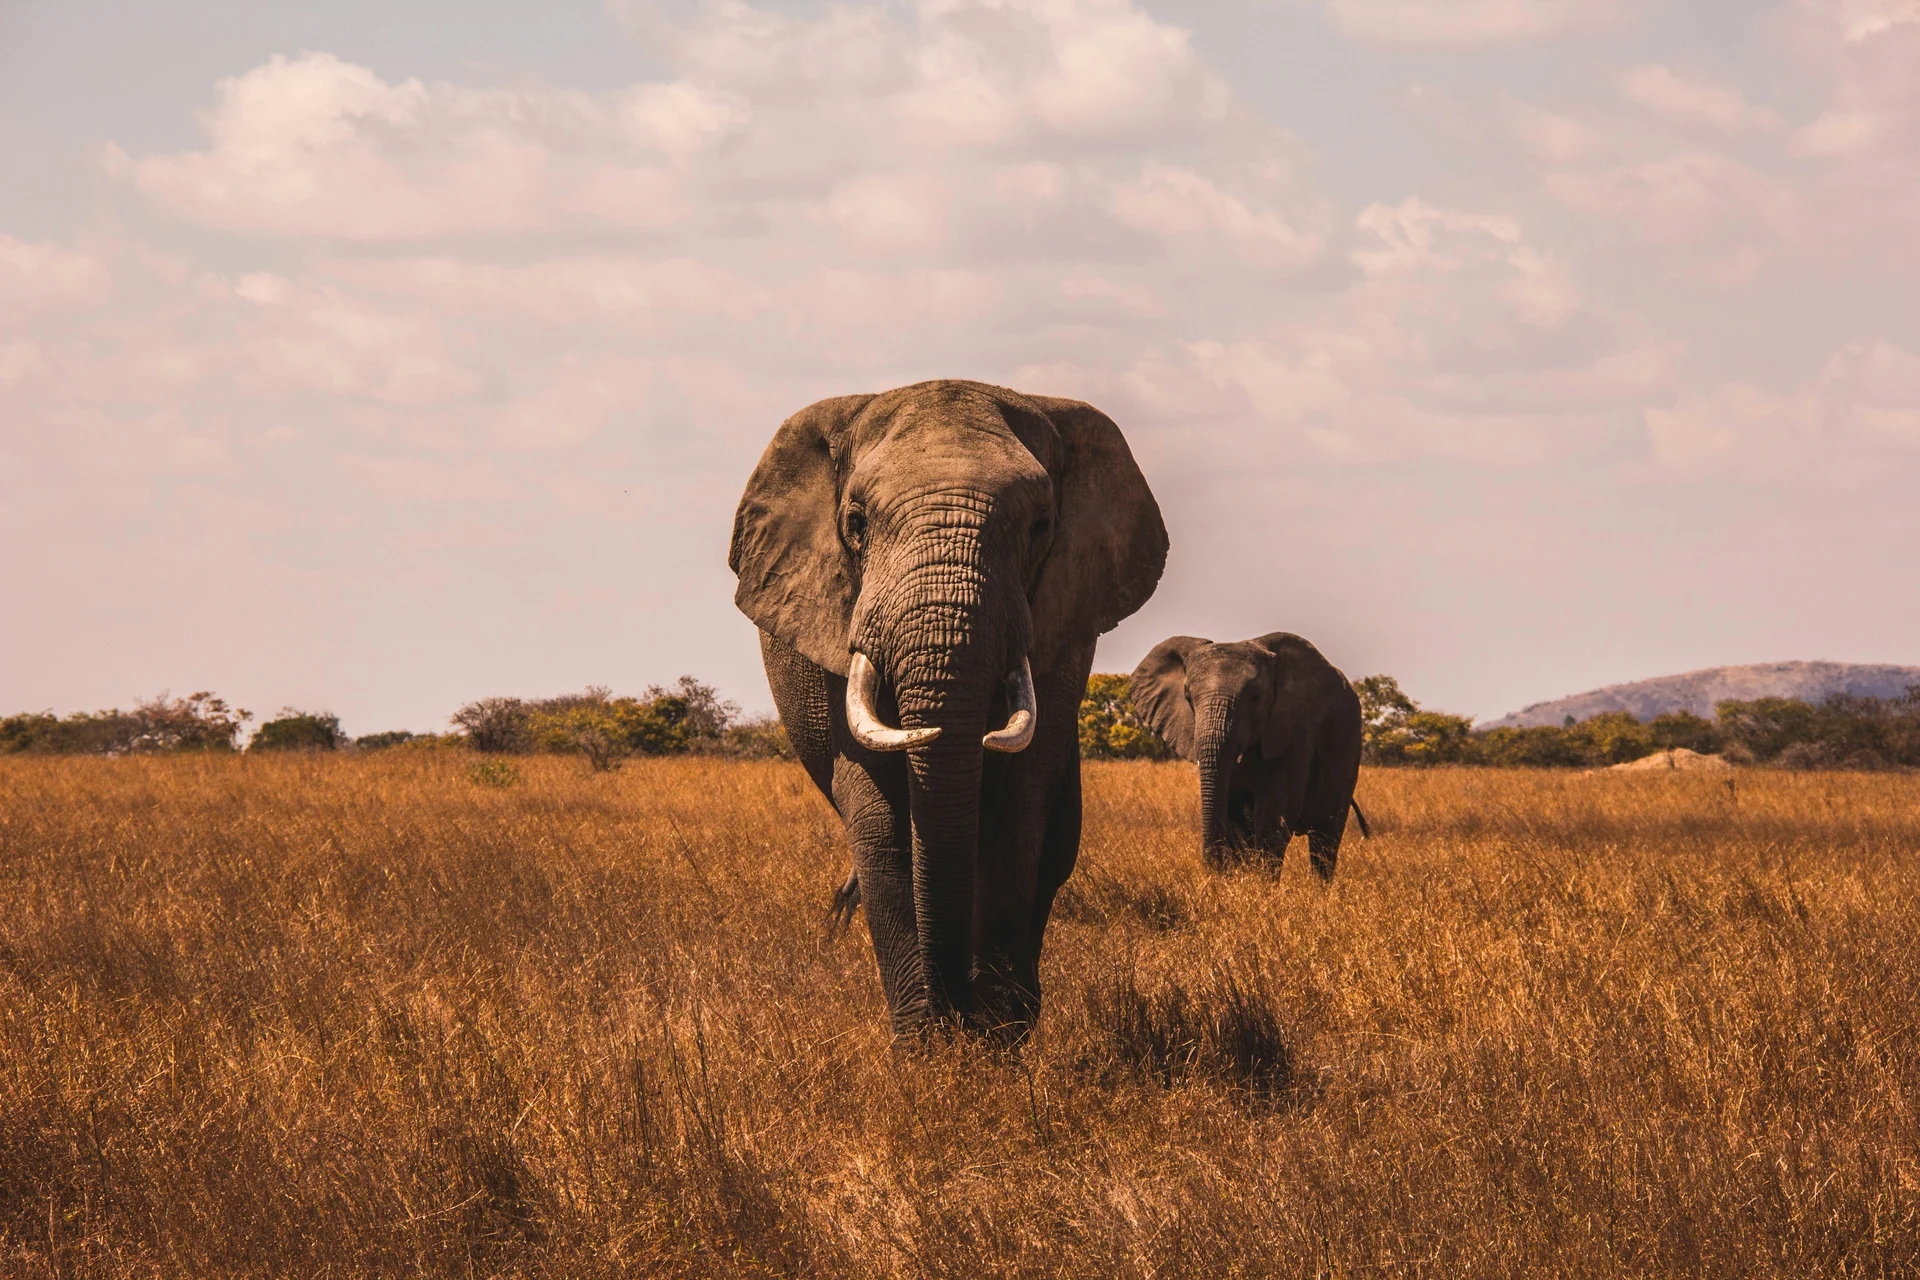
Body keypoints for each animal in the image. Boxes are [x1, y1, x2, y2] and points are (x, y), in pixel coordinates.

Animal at [729, 379, 1167, 1039]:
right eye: (855, 523)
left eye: (1041, 526)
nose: (955, 1008)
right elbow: (881, 821)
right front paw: (927, 1044)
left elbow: (1017, 812)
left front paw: (996, 1038)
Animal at [1130, 633, 1369, 876]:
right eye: (1188, 697)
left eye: (1256, 697)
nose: (1212, 869)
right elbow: (1236, 818)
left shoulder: (1295, 733)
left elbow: (1275, 814)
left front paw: (1261, 884)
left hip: (1347, 747)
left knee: (1325, 837)